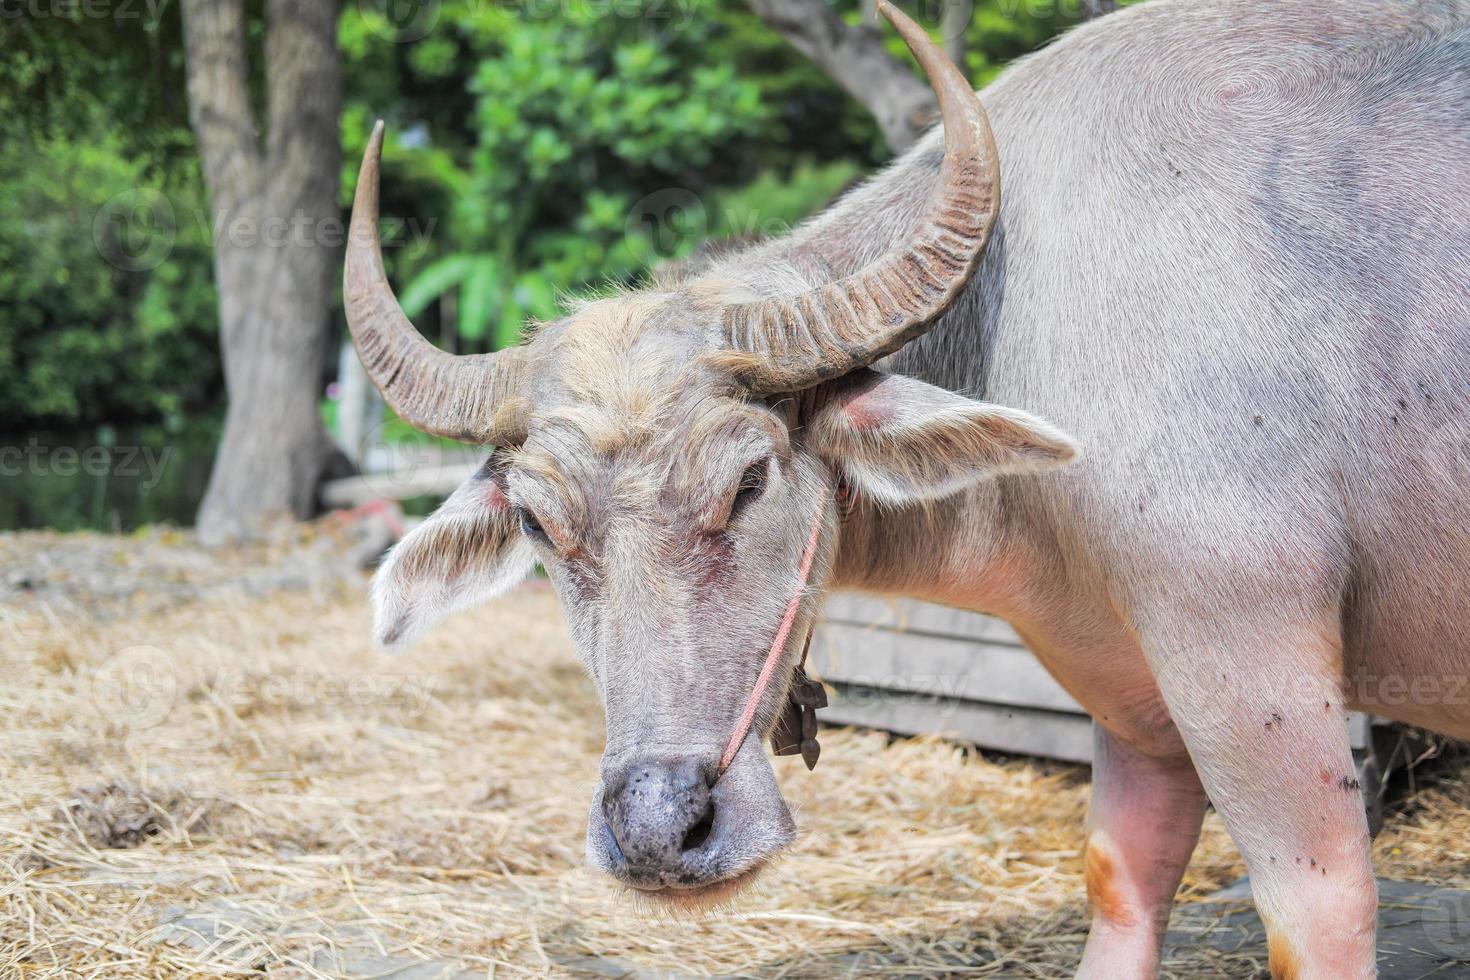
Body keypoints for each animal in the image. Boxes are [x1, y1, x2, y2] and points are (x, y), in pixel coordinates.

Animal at [346, 3, 1470, 975]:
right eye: (540, 523)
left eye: (750, 478)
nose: (661, 828)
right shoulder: (1139, 697)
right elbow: (1119, 881)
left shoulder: (1252, 656)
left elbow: (1318, 914)